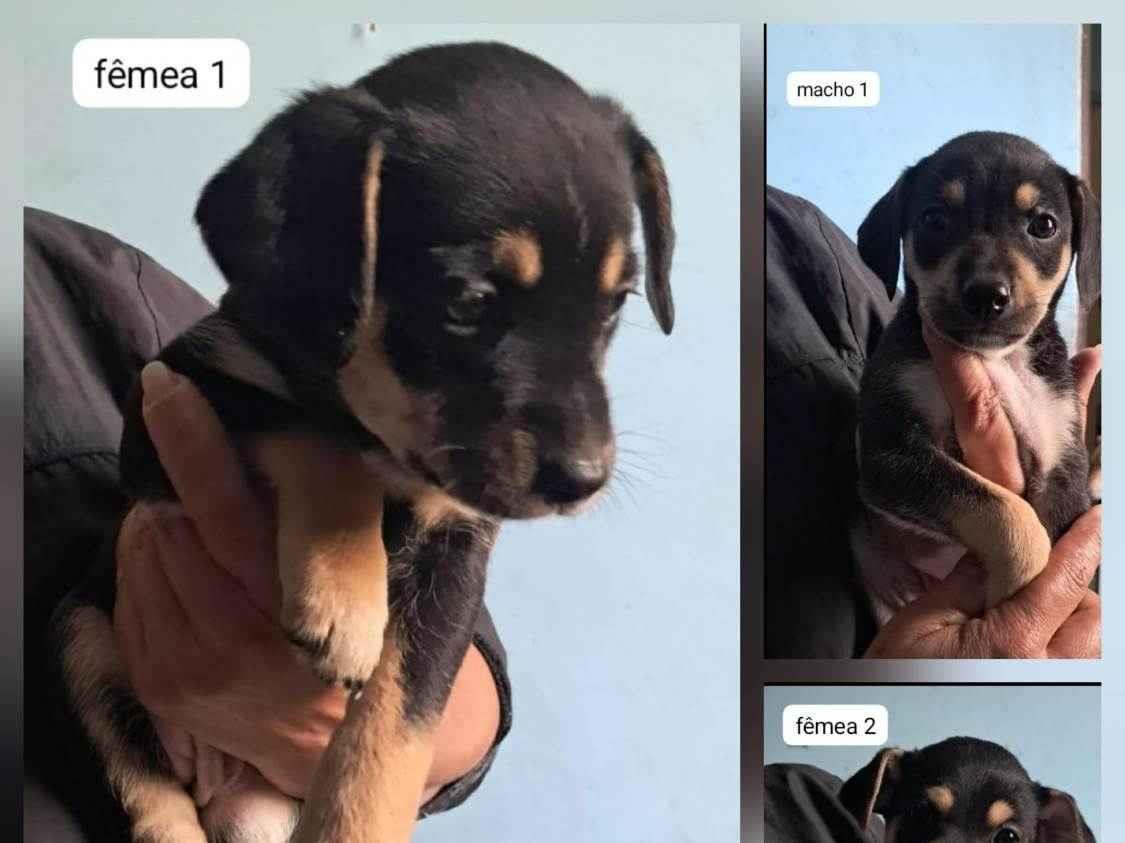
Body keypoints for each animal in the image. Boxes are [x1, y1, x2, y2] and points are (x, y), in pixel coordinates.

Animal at [47, 41, 674, 843]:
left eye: (617, 304)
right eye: (466, 300)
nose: (583, 480)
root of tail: (221, 782)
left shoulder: (454, 559)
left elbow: (393, 735)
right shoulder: (170, 404)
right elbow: (315, 436)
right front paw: (344, 595)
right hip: (81, 641)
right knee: (150, 795)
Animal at [850, 132, 1099, 625]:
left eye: (1044, 225)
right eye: (934, 219)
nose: (987, 294)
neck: (995, 359)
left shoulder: (1062, 463)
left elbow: (1048, 535)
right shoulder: (891, 453)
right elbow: (1005, 514)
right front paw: (1014, 593)